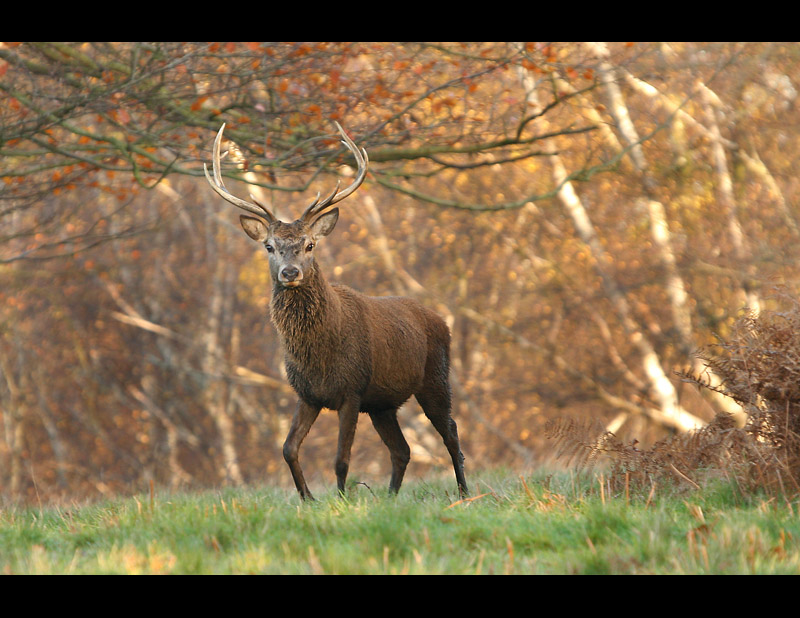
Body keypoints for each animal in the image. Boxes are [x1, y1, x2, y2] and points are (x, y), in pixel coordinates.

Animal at [203, 121, 468, 500]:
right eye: (269, 246)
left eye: (310, 245)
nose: (290, 272)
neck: (318, 353)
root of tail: (441, 320)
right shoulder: (308, 394)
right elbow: (288, 448)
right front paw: (308, 498)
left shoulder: (351, 390)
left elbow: (341, 460)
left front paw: (342, 502)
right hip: (383, 403)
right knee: (402, 449)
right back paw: (391, 497)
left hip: (435, 377)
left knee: (451, 433)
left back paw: (463, 492)